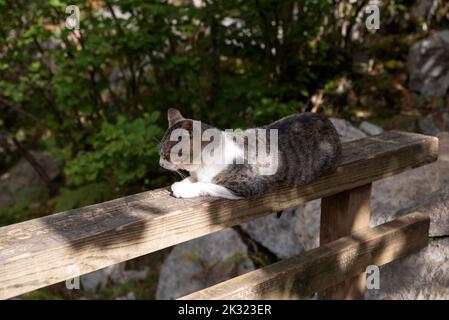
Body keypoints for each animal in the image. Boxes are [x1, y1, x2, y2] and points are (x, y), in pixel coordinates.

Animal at [159, 109, 342, 199]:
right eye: (160, 151)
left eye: (167, 153)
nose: (160, 163)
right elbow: (193, 178)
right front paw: (181, 184)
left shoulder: (248, 185)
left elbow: (206, 184)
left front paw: (185, 189)